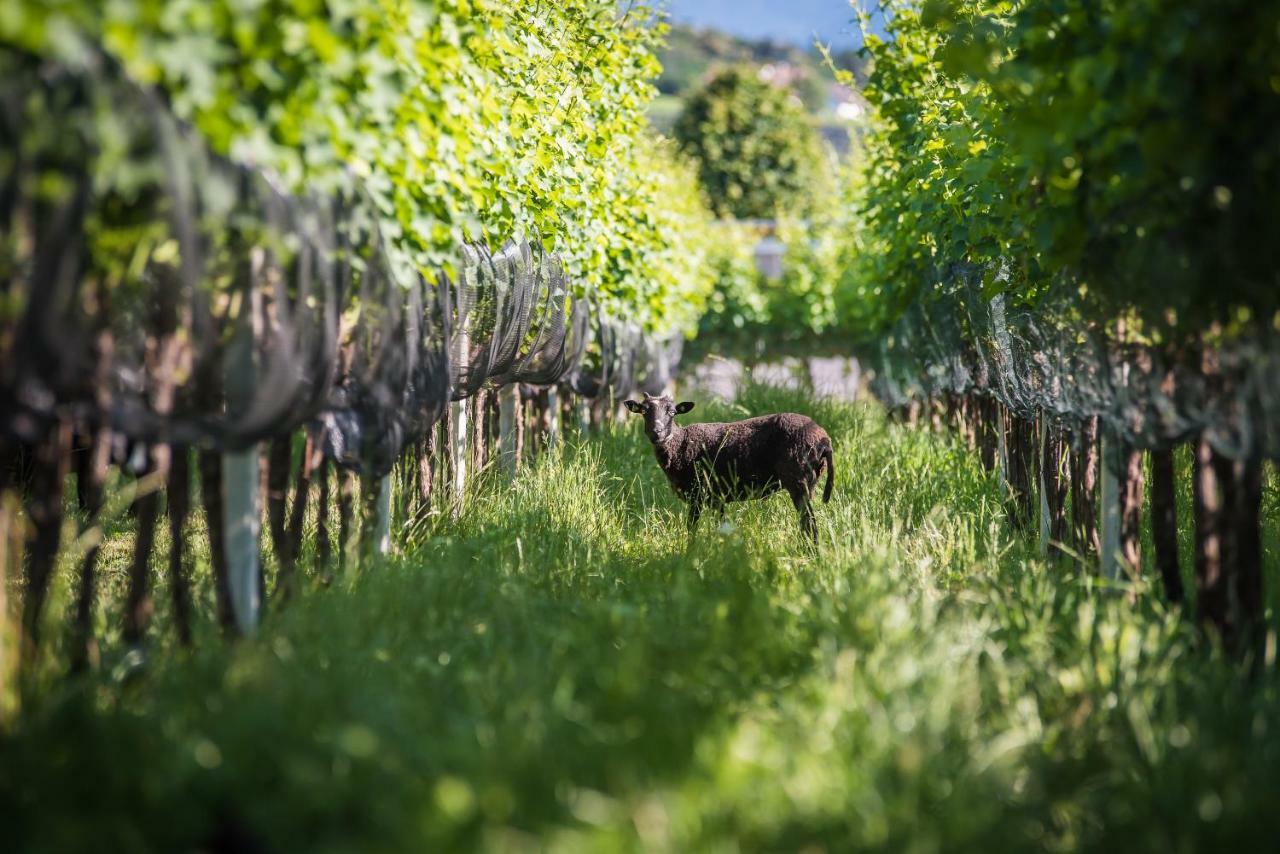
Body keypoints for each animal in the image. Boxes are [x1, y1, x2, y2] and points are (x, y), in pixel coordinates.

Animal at [624, 391, 834, 540]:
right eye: (643, 411)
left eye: (672, 412)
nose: (656, 433)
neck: (679, 444)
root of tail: (824, 441)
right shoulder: (717, 498)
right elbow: (722, 527)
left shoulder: (697, 494)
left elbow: (692, 528)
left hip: (798, 480)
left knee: (809, 524)